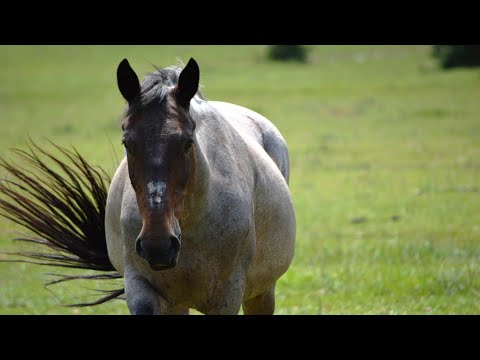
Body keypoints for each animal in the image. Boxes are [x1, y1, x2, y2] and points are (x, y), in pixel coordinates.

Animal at [0, 57, 296, 314]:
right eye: (127, 143)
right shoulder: (141, 290)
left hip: (261, 291)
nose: (158, 245)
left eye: (187, 142)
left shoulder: (226, 297)